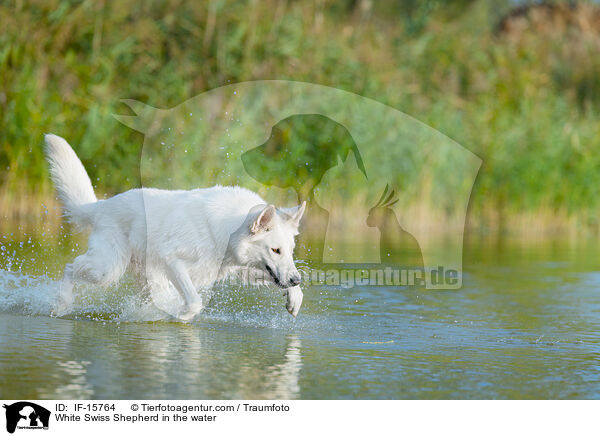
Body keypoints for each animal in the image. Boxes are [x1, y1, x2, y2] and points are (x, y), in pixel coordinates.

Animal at [44, 134, 304, 320]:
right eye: (275, 250)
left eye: (289, 251)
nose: (296, 279)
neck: (225, 232)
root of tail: (102, 204)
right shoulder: (172, 261)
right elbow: (194, 301)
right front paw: (182, 315)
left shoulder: (242, 268)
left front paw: (294, 299)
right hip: (107, 269)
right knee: (70, 267)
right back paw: (61, 304)